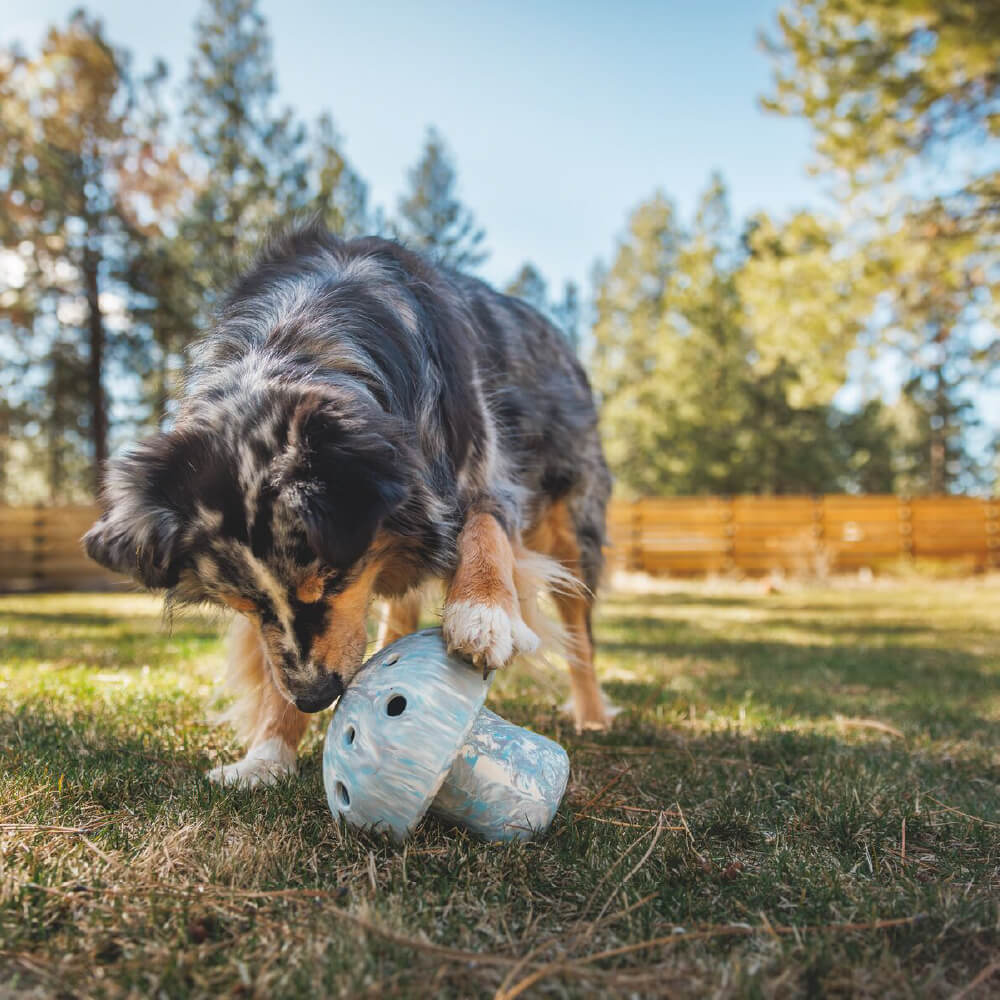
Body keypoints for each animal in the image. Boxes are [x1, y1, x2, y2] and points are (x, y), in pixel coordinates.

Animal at [86, 225, 612, 788]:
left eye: (333, 580)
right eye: (245, 603)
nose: (315, 698)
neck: (301, 340)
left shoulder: (482, 465)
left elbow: (485, 525)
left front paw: (482, 612)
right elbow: (274, 658)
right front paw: (267, 754)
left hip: (570, 522)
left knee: (580, 632)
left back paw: (592, 716)